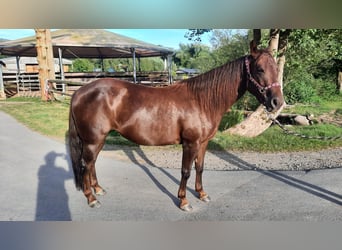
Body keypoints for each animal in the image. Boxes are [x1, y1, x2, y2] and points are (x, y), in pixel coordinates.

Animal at [69, 41, 284, 211]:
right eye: (259, 69)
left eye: (276, 68)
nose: (277, 103)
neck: (202, 100)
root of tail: (79, 92)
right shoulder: (190, 143)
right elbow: (186, 171)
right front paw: (184, 201)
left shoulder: (203, 143)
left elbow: (200, 168)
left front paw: (202, 194)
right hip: (93, 140)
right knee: (85, 164)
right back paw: (91, 198)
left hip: (99, 139)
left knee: (91, 163)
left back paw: (98, 190)